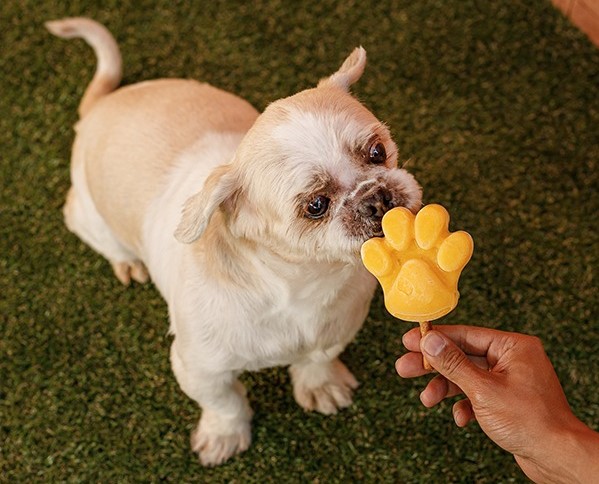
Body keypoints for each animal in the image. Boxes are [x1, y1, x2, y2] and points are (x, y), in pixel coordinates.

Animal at [45, 18, 422, 466]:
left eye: (377, 151)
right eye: (316, 205)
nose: (377, 197)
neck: (303, 285)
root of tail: (101, 105)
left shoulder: (336, 329)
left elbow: (318, 359)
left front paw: (320, 385)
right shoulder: (199, 368)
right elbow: (224, 403)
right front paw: (223, 436)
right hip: (90, 216)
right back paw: (126, 260)